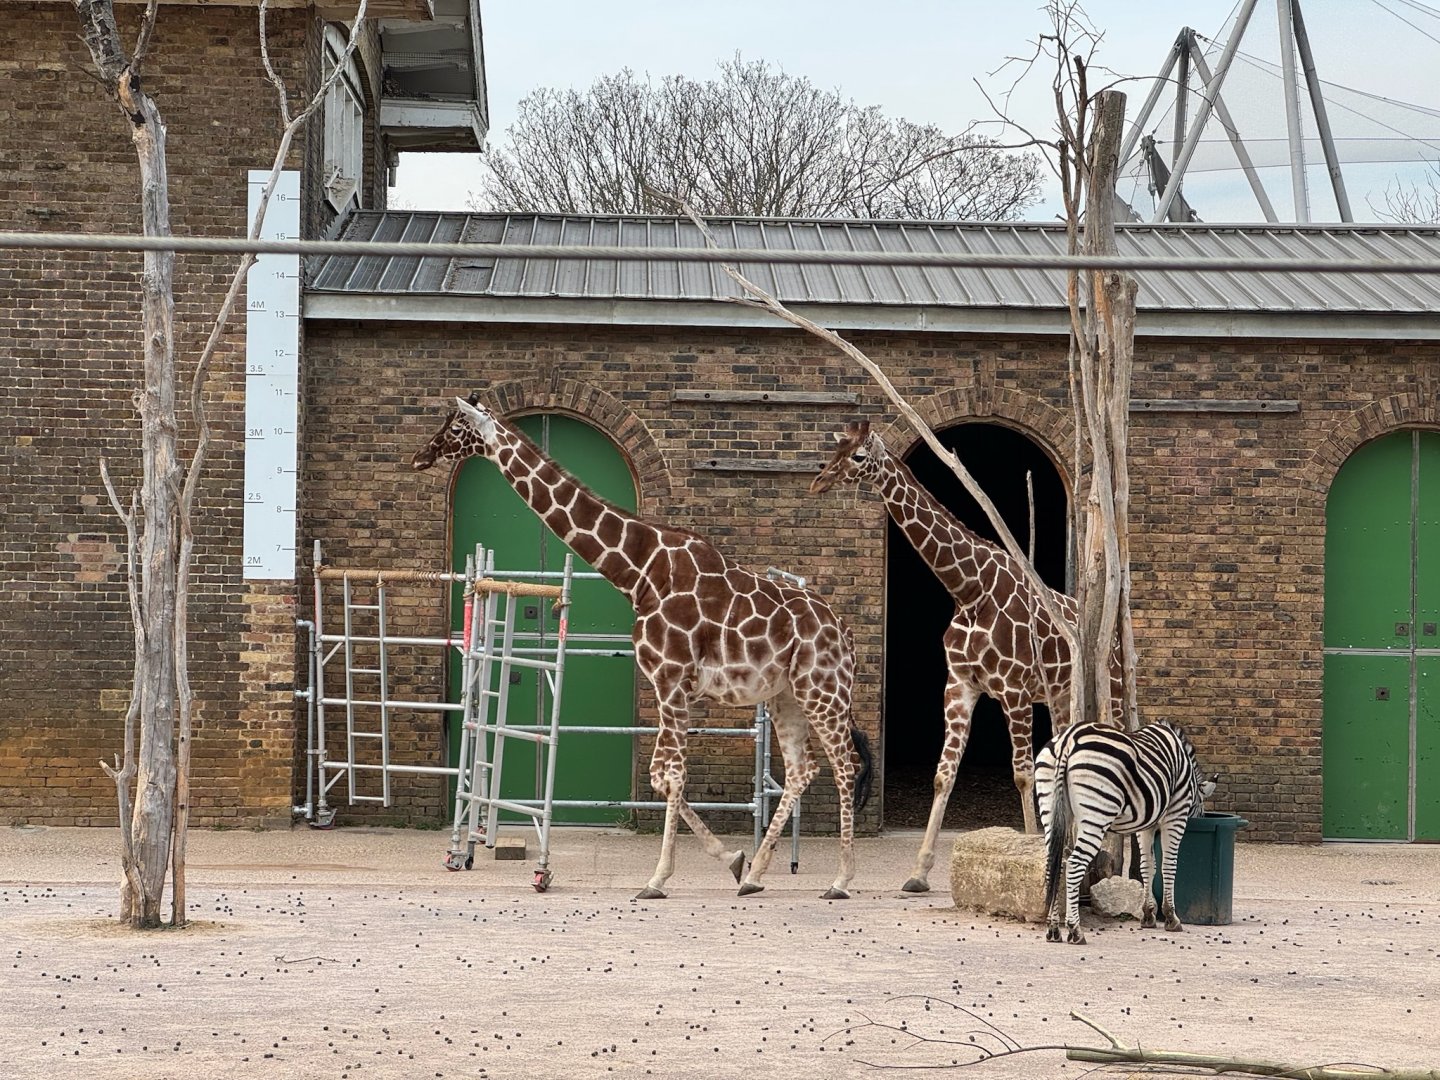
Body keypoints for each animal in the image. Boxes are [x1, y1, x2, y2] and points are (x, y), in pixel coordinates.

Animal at [412, 394, 873, 900]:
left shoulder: (671, 679)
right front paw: (733, 860)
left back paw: (841, 880)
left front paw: (657, 879)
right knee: (802, 768)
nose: (421, 455)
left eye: (456, 426)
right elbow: (660, 776)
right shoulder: (668, 683)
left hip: (822, 689)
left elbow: (669, 775)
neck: (641, 571)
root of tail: (845, 631)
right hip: (785, 694)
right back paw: (755, 877)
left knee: (845, 765)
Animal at [809, 421, 1122, 894]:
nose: (819, 481)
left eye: (859, 457)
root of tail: (1116, 644)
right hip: (1060, 698)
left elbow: (1022, 773)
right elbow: (944, 773)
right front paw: (918, 872)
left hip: (1108, 692)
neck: (969, 590)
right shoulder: (959, 685)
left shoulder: (1013, 690)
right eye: (836, 449)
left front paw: (1031, 858)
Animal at [1036, 721, 1217, 945]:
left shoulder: (1145, 825)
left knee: (1053, 865)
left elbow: (1147, 866)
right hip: (1097, 813)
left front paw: (1148, 915)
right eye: (1201, 811)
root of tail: (1068, 739)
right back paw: (1075, 930)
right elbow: (1168, 865)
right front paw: (1171, 917)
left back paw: (1053, 930)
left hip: (1050, 809)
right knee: (1074, 865)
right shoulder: (1176, 814)